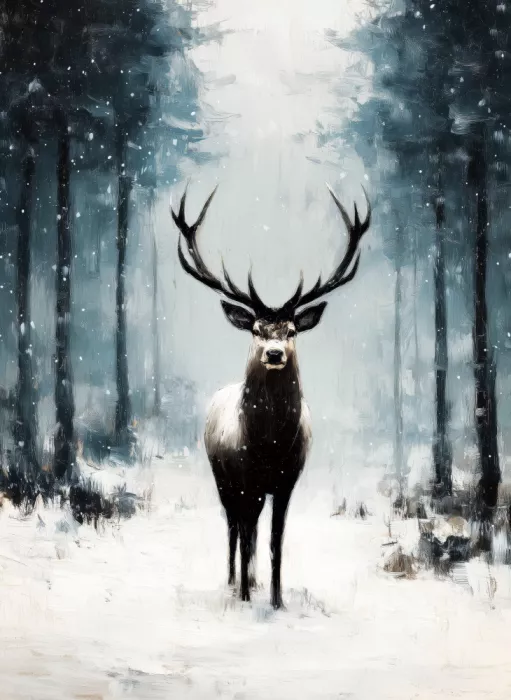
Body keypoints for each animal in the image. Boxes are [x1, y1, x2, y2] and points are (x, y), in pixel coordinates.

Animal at [171, 184, 370, 609]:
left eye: (292, 330)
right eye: (257, 329)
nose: (275, 353)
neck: (268, 445)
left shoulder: (286, 481)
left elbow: (276, 540)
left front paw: (276, 599)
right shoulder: (243, 476)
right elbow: (246, 536)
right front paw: (246, 596)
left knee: (252, 529)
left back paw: (253, 581)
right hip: (221, 477)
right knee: (234, 526)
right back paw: (236, 581)